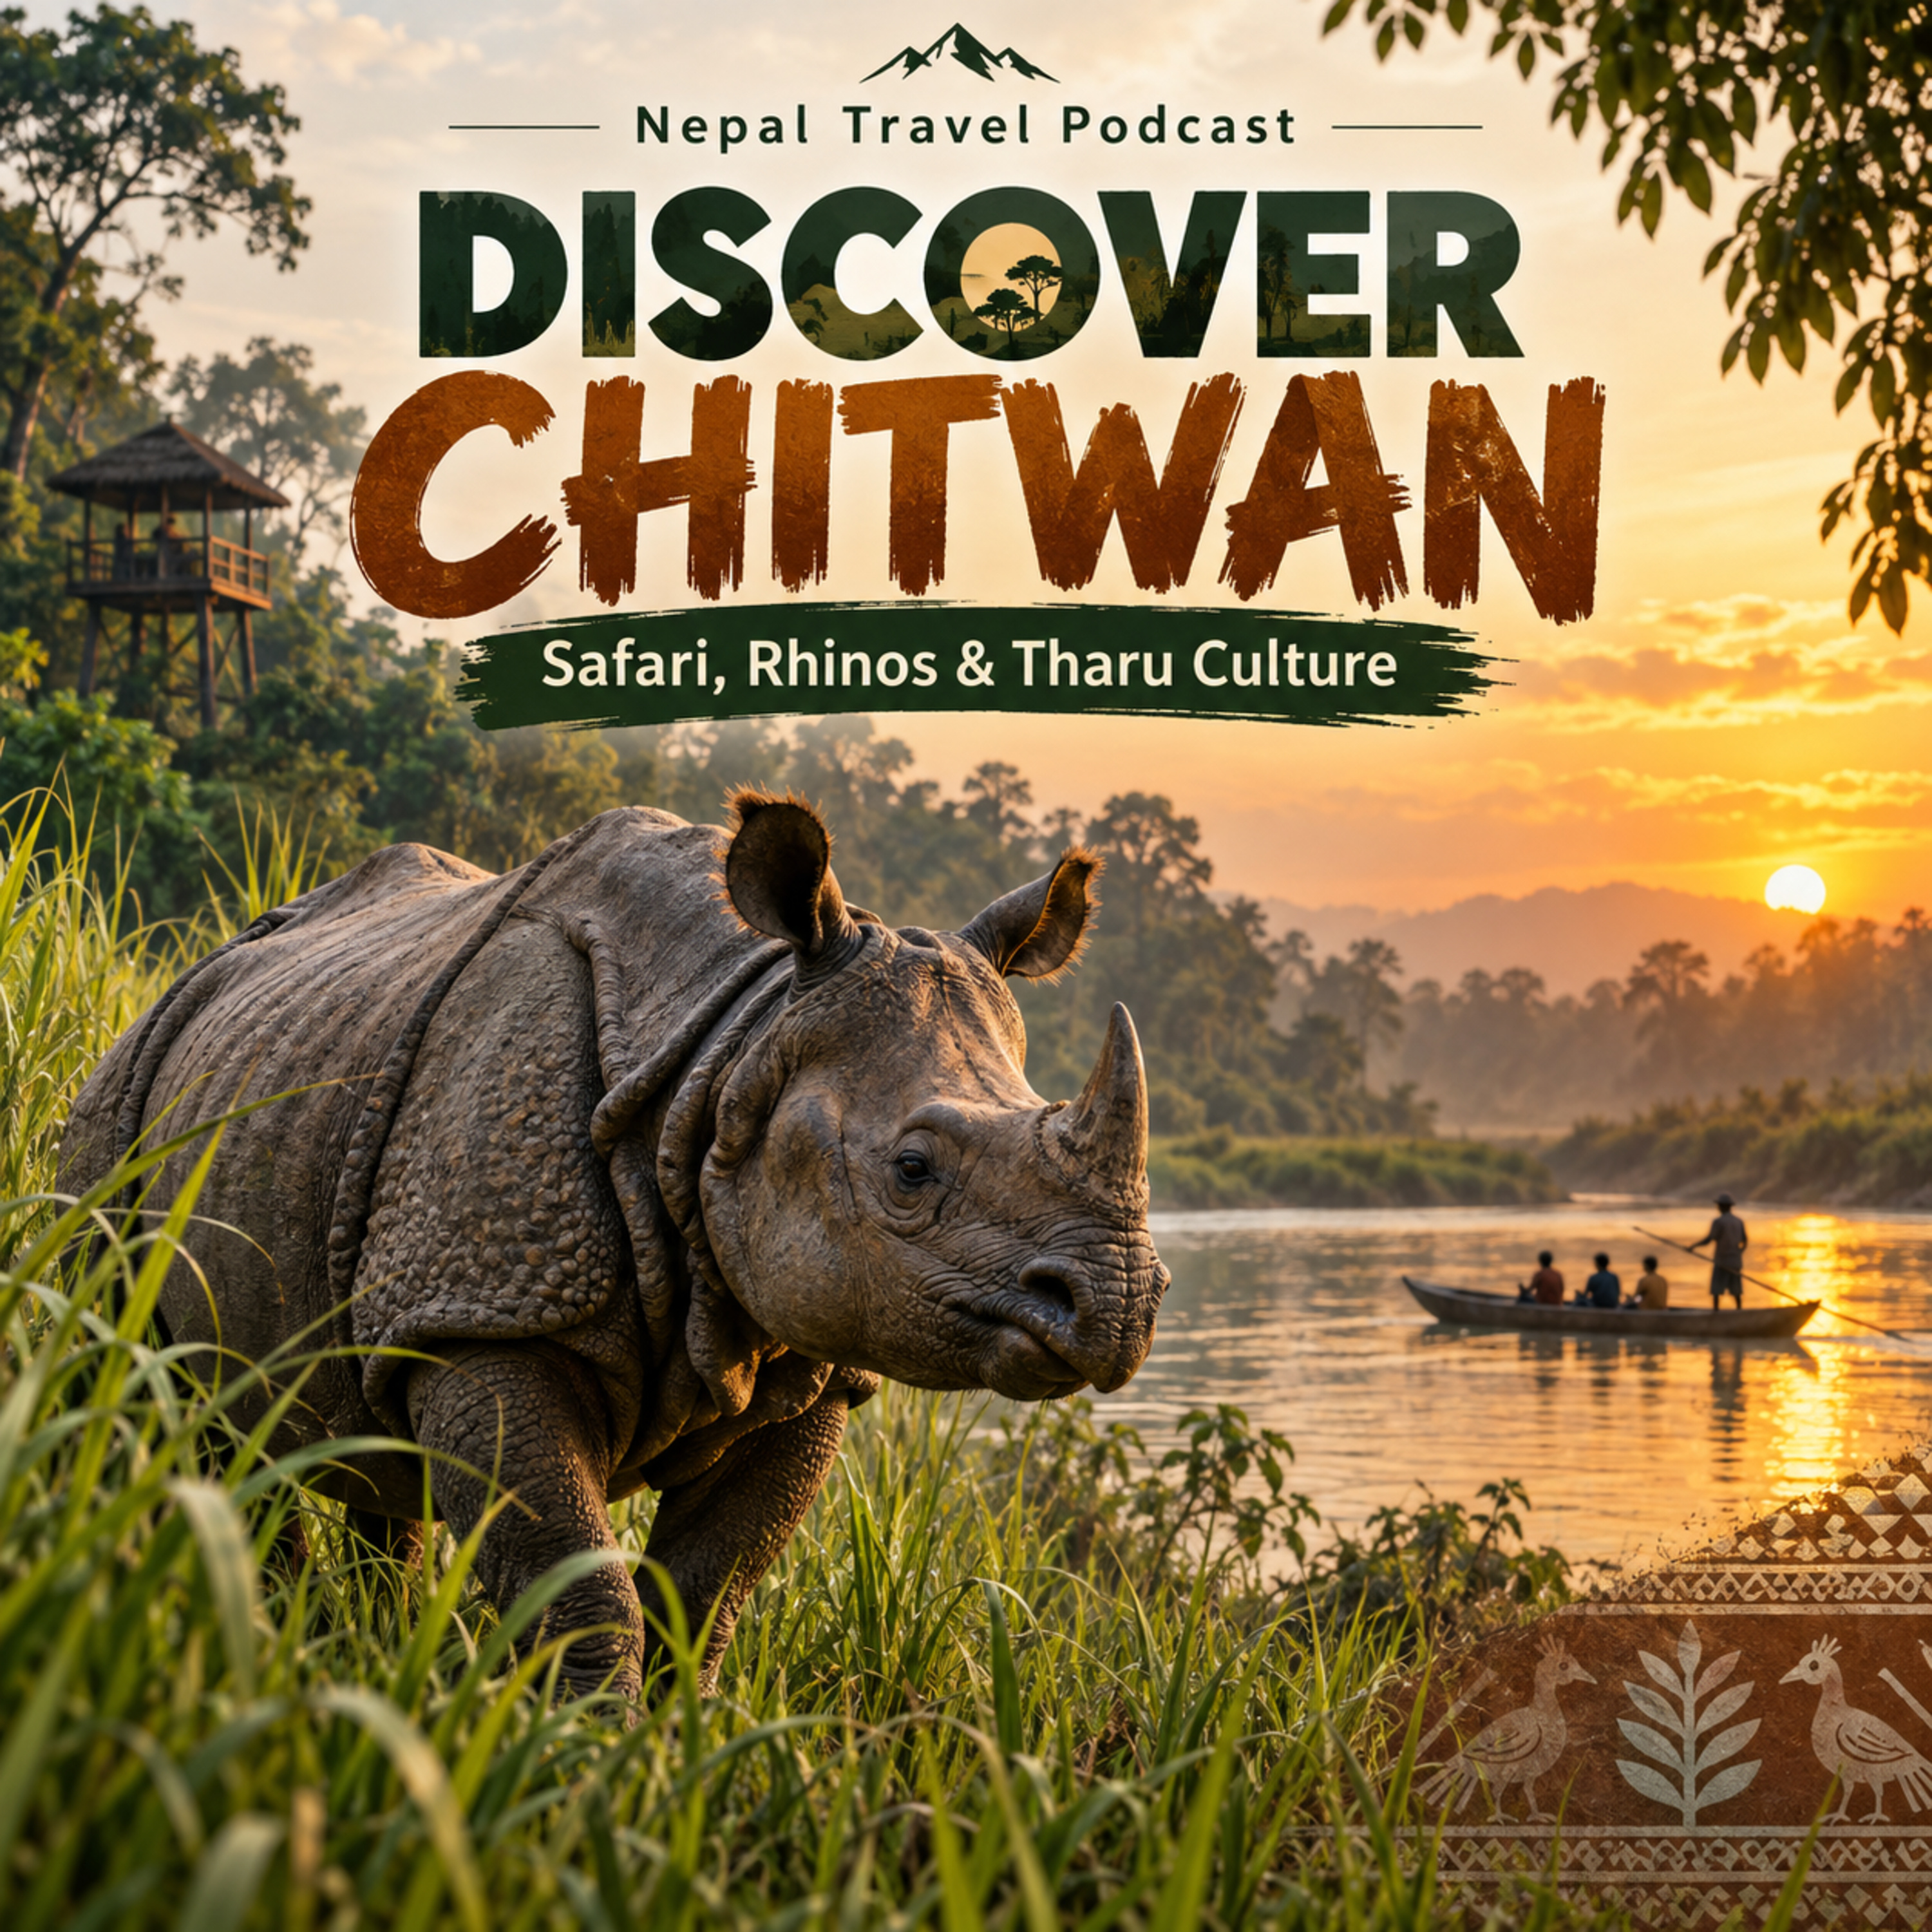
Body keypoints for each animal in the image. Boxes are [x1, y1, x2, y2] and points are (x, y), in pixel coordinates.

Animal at [61, 793, 1167, 1699]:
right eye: (911, 1169)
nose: (1118, 1303)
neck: (731, 1050)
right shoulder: (484, 1317)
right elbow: (581, 1598)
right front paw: (584, 1768)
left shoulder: (811, 1354)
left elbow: (702, 1599)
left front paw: (671, 1771)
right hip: (123, 1091)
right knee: (160, 1400)